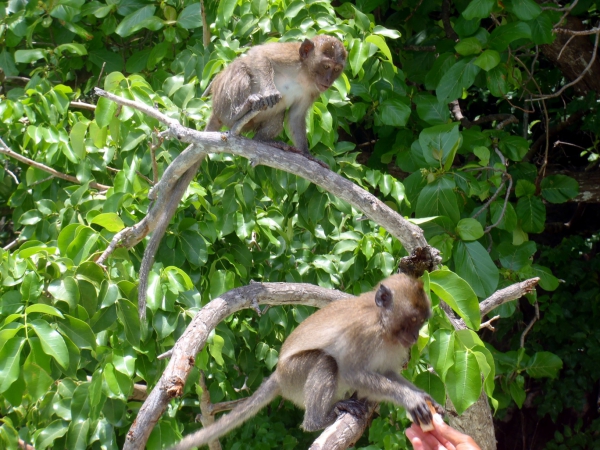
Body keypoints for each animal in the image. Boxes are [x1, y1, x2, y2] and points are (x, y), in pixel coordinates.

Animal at [168, 270, 440, 450]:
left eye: (420, 322)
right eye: (413, 320)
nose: (415, 337)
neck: (383, 326)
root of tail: (278, 374)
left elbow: (388, 374)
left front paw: (423, 397)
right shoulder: (363, 332)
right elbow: (351, 372)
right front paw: (410, 399)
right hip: (293, 376)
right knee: (326, 361)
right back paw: (318, 420)